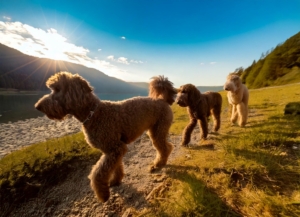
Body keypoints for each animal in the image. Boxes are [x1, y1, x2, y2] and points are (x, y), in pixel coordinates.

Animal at [34, 72, 177, 203]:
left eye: (57, 89)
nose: (37, 106)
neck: (93, 113)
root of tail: (162, 100)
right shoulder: (113, 151)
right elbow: (115, 167)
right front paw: (115, 180)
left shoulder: (115, 149)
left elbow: (97, 174)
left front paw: (103, 194)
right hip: (155, 131)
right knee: (167, 146)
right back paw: (161, 162)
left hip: (159, 130)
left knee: (164, 148)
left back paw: (159, 164)